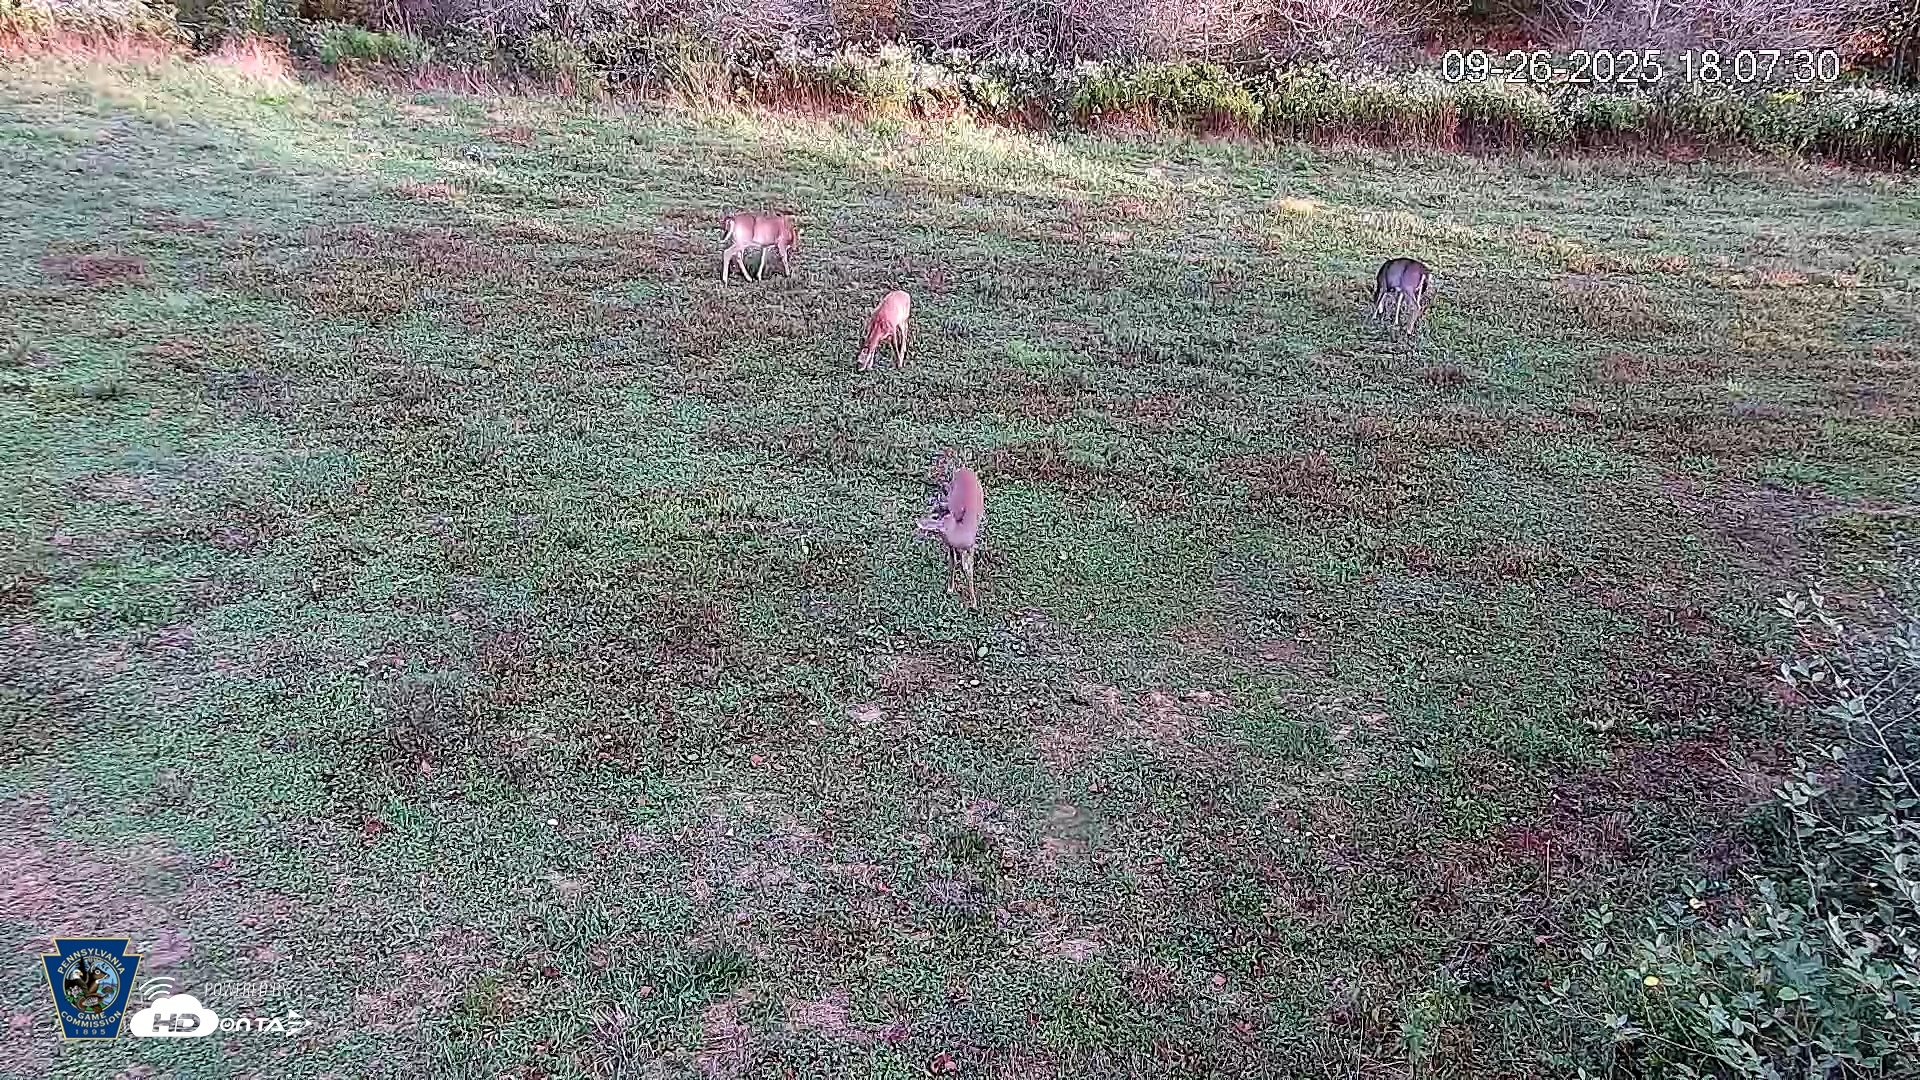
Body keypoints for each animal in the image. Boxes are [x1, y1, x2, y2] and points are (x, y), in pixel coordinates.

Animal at [917, 463, 984, 608]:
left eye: (936, 517)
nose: (921, 523)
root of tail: (965, 469)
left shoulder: (971, 546)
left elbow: (968, 568)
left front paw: (974, 603)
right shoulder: (951, 546)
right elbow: (953, 562)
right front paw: (950, 588)